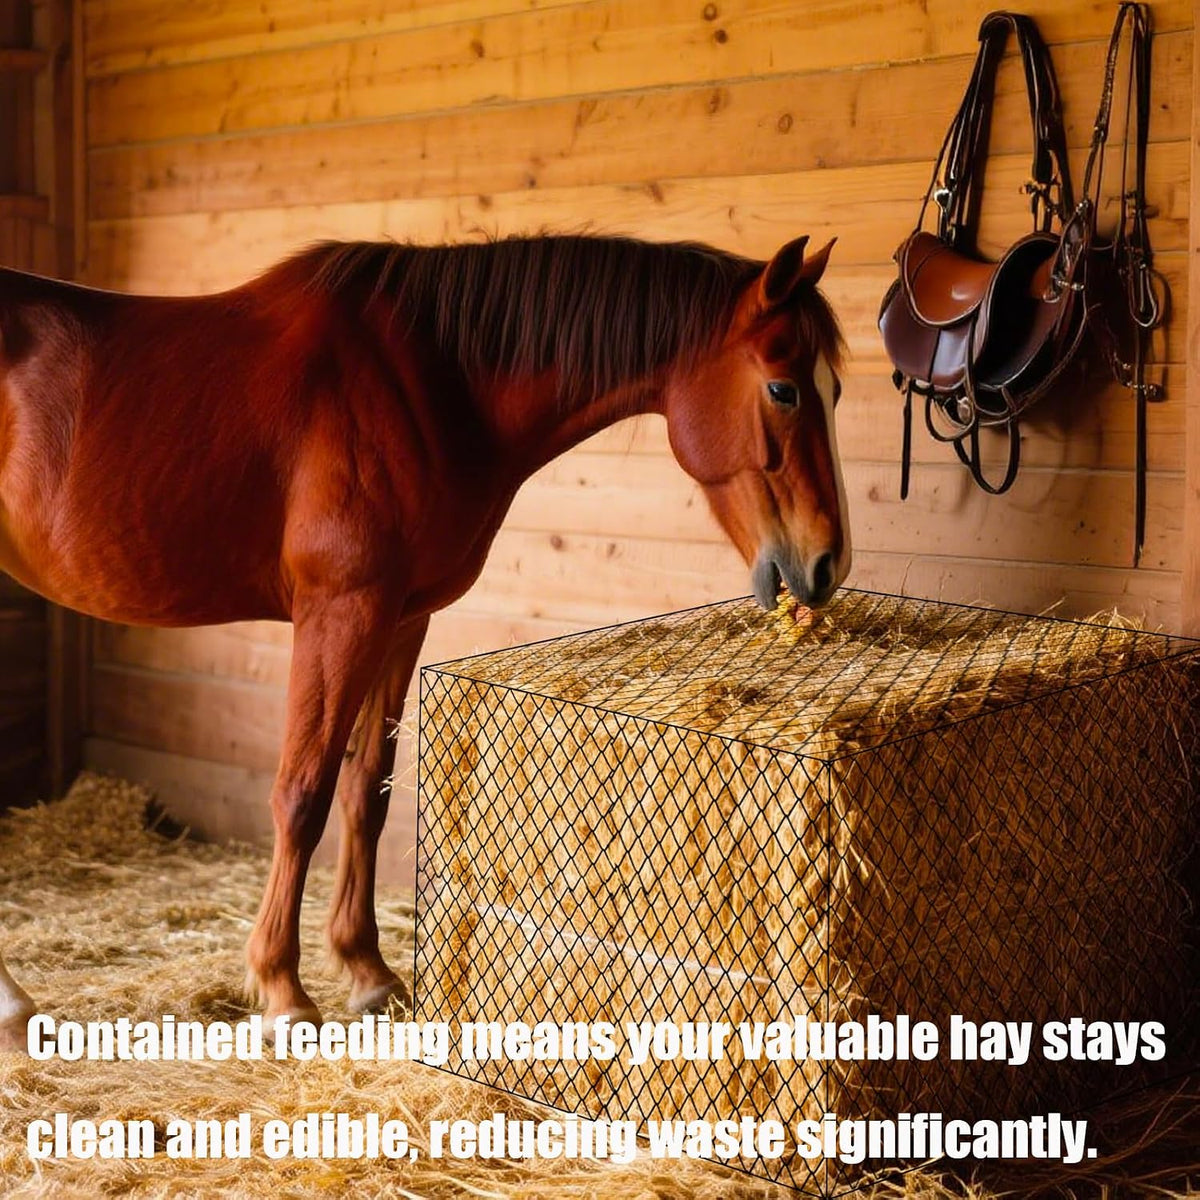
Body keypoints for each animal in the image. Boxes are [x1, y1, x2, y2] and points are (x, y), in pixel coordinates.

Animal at [0, 231, 849, 1049]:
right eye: (783, 387)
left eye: (835, 389)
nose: (826, 564)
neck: (430, 384)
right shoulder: (341, 613)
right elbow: (303, 795)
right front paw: (282, 991)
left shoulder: (401, 617)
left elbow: (365, 790)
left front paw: (368, 971)